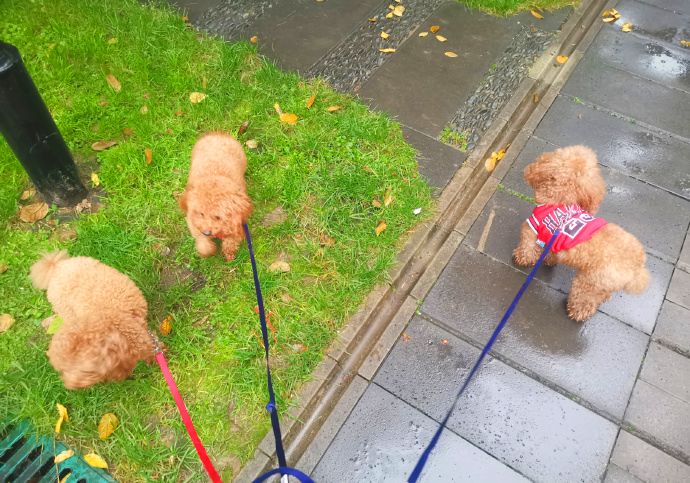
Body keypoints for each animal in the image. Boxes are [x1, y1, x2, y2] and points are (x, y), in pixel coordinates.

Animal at [179, 132, 251, 260]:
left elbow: (231, 240)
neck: (214, 175)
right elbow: (203, 244)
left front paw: (229, 253)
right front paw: (208, 251)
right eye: (201, 214)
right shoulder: (194, 223)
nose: (207, 233)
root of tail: (217, 134)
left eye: (218, 217)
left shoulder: (236, 222)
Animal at [510, 146, 652, 324]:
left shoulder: (534, 229)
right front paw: (548, 260)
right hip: (601, 286)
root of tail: (637, 268)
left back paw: (576, 312)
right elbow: (551, 254)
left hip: (588, 282)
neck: (562, 198)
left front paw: (521, 259)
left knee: (584, 300)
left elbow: (527, 248)